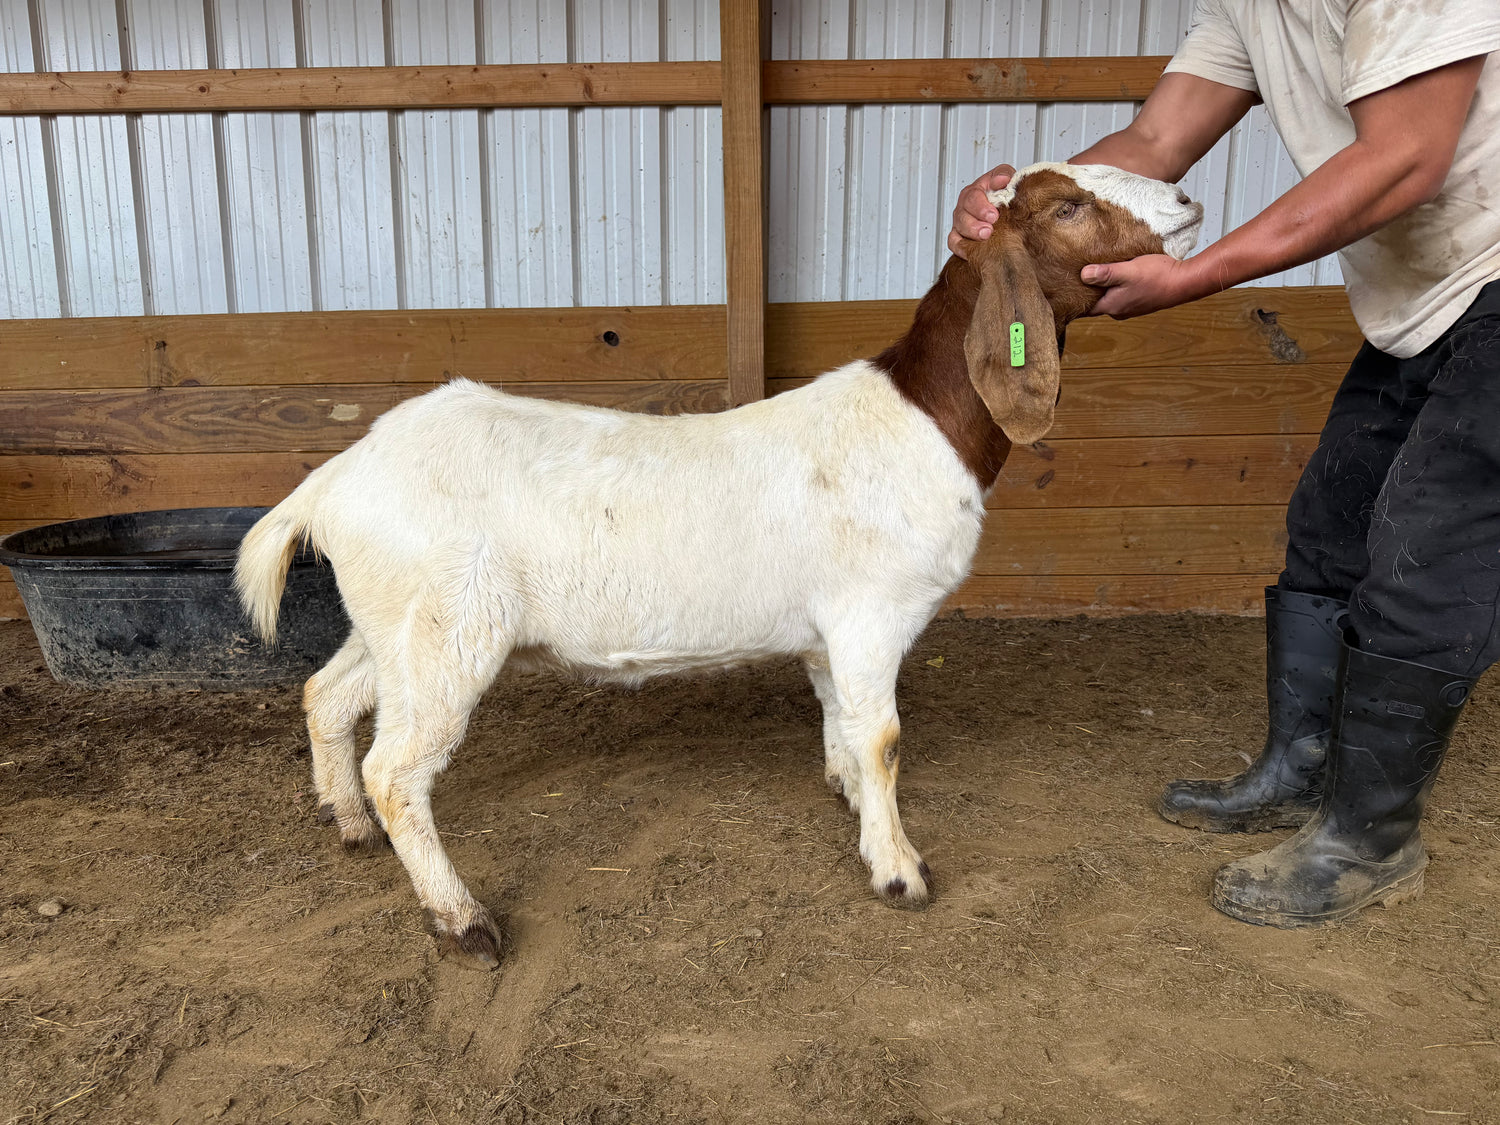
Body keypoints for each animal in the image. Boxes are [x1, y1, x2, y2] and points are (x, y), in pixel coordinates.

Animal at [236, 163, 1203, 970]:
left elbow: (844, 725)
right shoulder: (872, 614)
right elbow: (884, 738)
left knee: (328, 695)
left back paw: (346, 822)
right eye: (1066, 205)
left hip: (395, 621)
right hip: (445, 629)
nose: (1187, 198)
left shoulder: (828, 632)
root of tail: (336, 475)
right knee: (398, 770)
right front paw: (898, 870)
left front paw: (850, 801)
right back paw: (462, 918)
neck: (917, 419)